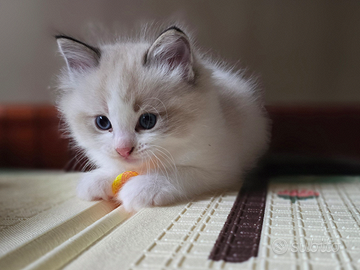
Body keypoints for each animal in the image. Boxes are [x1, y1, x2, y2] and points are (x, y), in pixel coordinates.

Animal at [55, 25, 270, 211]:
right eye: (102, 122)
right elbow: (114, 166)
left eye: (148, 121)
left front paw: (143, 186)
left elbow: (177, 171)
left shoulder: (221, 169)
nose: (123, 149)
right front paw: (99, 178)